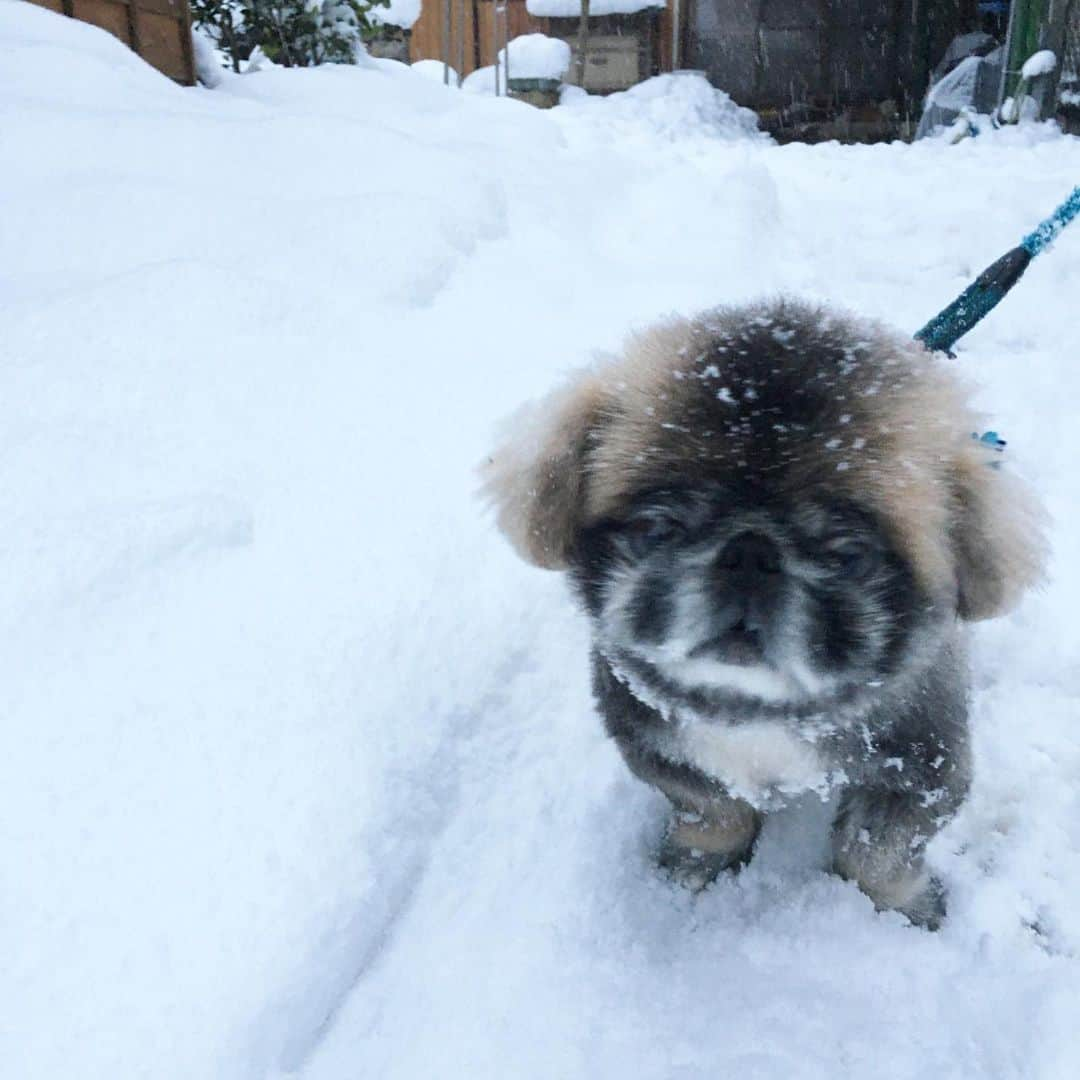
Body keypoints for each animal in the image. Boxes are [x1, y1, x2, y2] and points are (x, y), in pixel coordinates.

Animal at [486, 298, 1041, 928]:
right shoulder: (655, 746)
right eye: (656, 529)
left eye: (848, 556)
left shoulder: (922, 767)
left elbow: (877, 852)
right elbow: (714, 811)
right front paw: (699, 861)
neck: (756, 716)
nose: (750, 553)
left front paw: (903, 908)